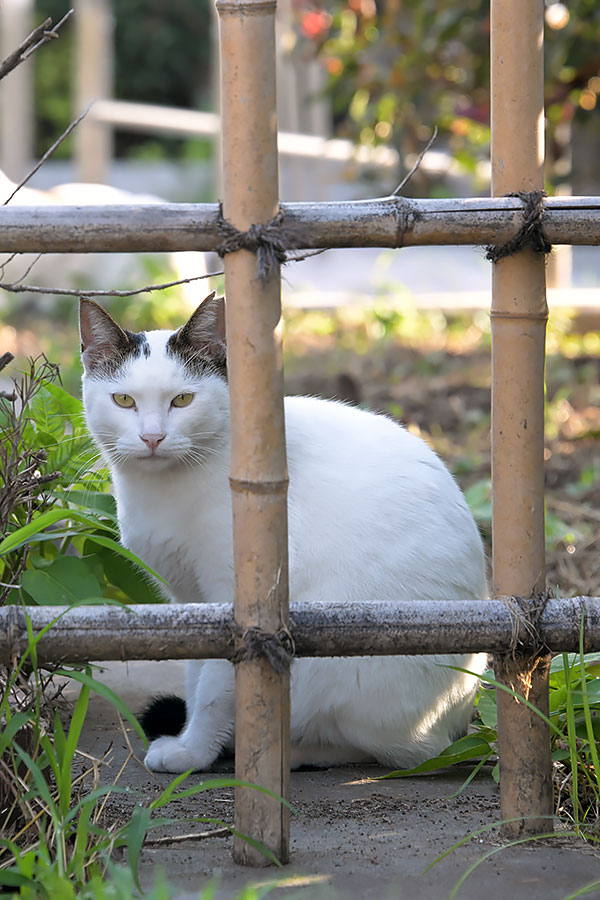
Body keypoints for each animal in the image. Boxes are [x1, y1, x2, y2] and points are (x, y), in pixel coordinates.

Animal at [79, 296, 490, 772]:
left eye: (182, 400)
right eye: (124, 400)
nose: (152, 437)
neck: (164, 490)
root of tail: (455, 727)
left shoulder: (237, 604)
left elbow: (214, 689)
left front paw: (192, 752)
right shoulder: (190, 602)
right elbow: (195, 672)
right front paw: (196, 744)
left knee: (378, 748)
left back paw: (284, 750)